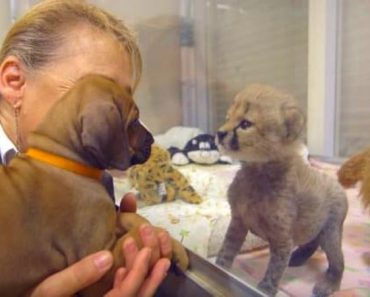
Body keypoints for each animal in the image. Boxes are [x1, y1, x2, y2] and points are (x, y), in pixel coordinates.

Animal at [0, 74, 188, 296]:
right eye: (134, 121)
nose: (151, 139)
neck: (65, 161)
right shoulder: (99, 271)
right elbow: (136, 237)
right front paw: (161, 238)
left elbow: (130, 218)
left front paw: (172, 245)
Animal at [215, 84, 348, 296]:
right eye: (228, 118)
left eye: (245, 124)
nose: (219, 133)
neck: (258, 171)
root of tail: (338, 185)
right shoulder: (238, 220)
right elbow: (228, 246)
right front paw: (221, 266)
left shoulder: (282, 237)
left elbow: (276, 266)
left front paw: (267, 288)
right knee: (312, 241)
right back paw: (299, 257)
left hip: (331, 231)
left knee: (337, 260)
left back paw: (328, 284)